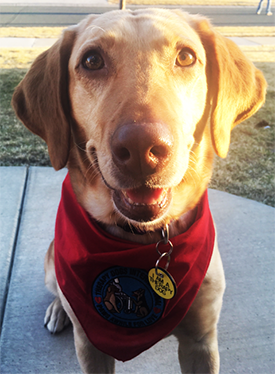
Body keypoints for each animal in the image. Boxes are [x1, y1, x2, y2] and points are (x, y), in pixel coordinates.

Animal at [12, 8, 268, 374]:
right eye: (92, 60)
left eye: (186, 57)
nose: (141, 148)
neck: (142, 240)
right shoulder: (90, 347)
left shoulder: (201, 341)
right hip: (51, 266)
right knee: (57, 292)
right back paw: (59, 309)